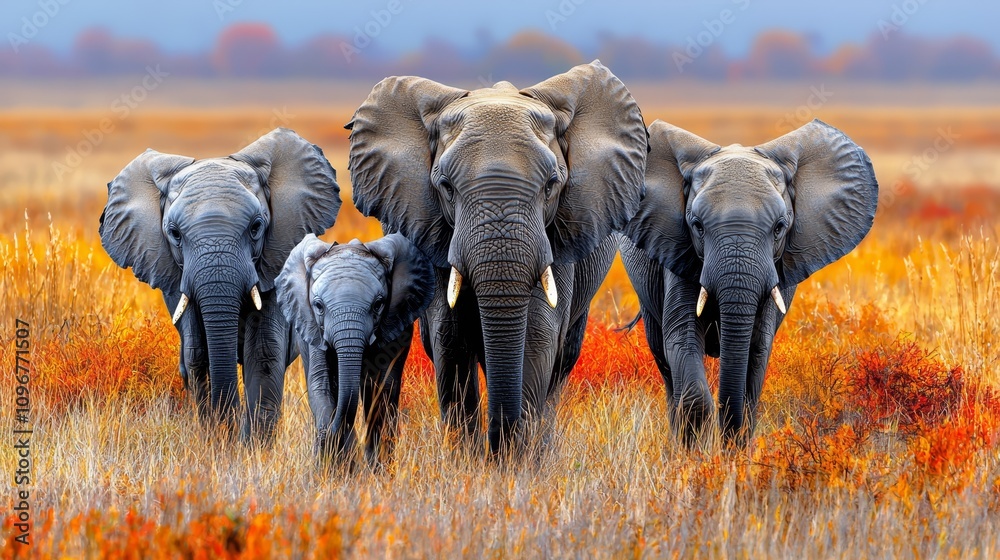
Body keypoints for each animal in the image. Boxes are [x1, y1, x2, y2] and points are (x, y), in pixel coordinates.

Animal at [99, 128, 341, 442]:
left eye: (256, 227)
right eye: (174, 233)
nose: (230, 425)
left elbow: (263, 353)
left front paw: (253, 448)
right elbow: (197, 354)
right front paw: (218, 440)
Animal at [275, 233, 435, 466]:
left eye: (378, 304)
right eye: (318, 306)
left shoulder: (392, 323)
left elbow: (381, 388)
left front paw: (374, 468)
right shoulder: (313, 328)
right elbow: (321, 383)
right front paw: (333, 463)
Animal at [346, 61, 647, 455]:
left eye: (551, 185)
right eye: (446, 186)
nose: (497, 445)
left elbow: (537, 337)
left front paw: (515, 461)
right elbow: (450, 339)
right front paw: (470, 460)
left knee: (563, 359)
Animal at [619, 118, 878, 446]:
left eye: (780, 227)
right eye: (697, 226)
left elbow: (756, 351)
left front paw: (735, 452)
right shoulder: (678, 252)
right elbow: (682, 339)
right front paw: (692, 455)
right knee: (663, 361)